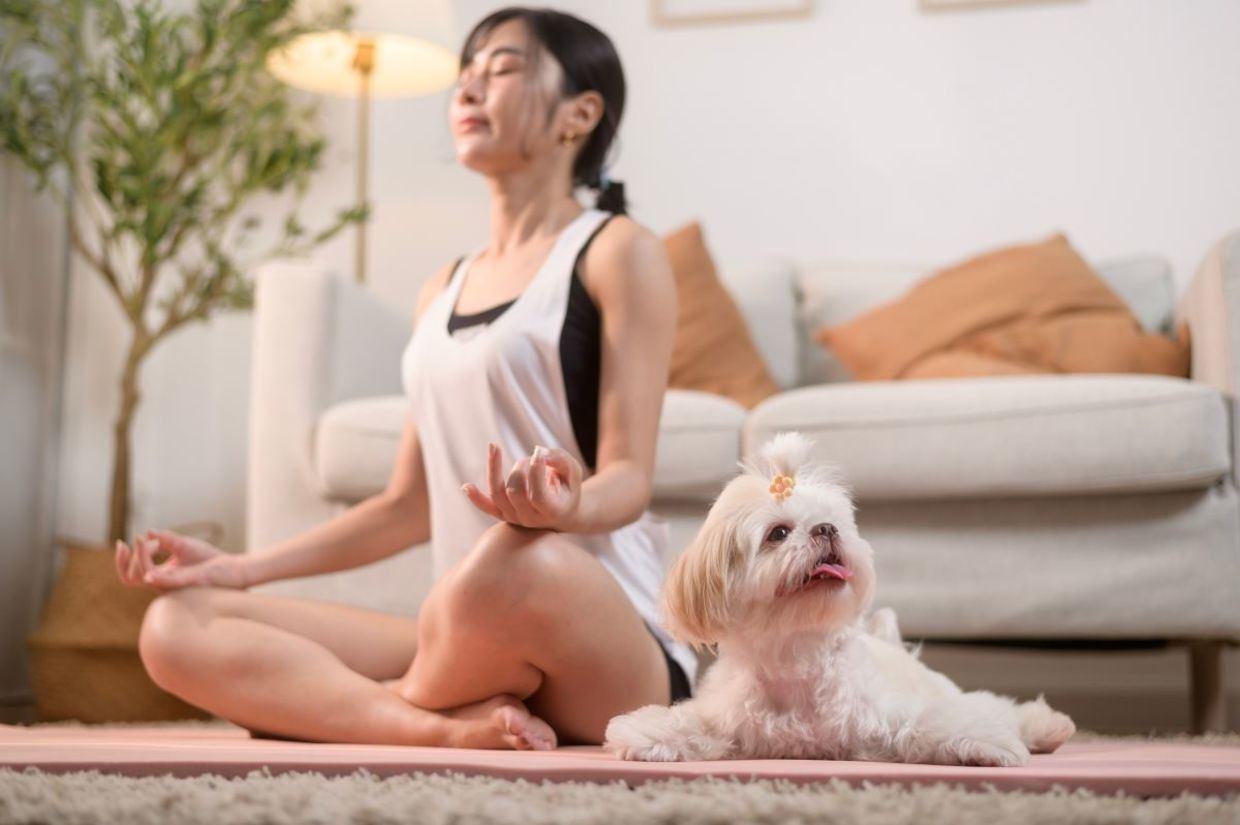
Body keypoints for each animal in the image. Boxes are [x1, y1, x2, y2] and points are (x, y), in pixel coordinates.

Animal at [610, 431, 1076, 764]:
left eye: (834, 522)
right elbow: (690, 725)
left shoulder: (886, 714)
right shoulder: (729, 720)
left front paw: (985, 744)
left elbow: (929, 723)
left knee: (994, 706)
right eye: (778, 533)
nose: (826, 530)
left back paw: (1045, 727)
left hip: (942, 688)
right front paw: (647, 734)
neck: (797, 657)